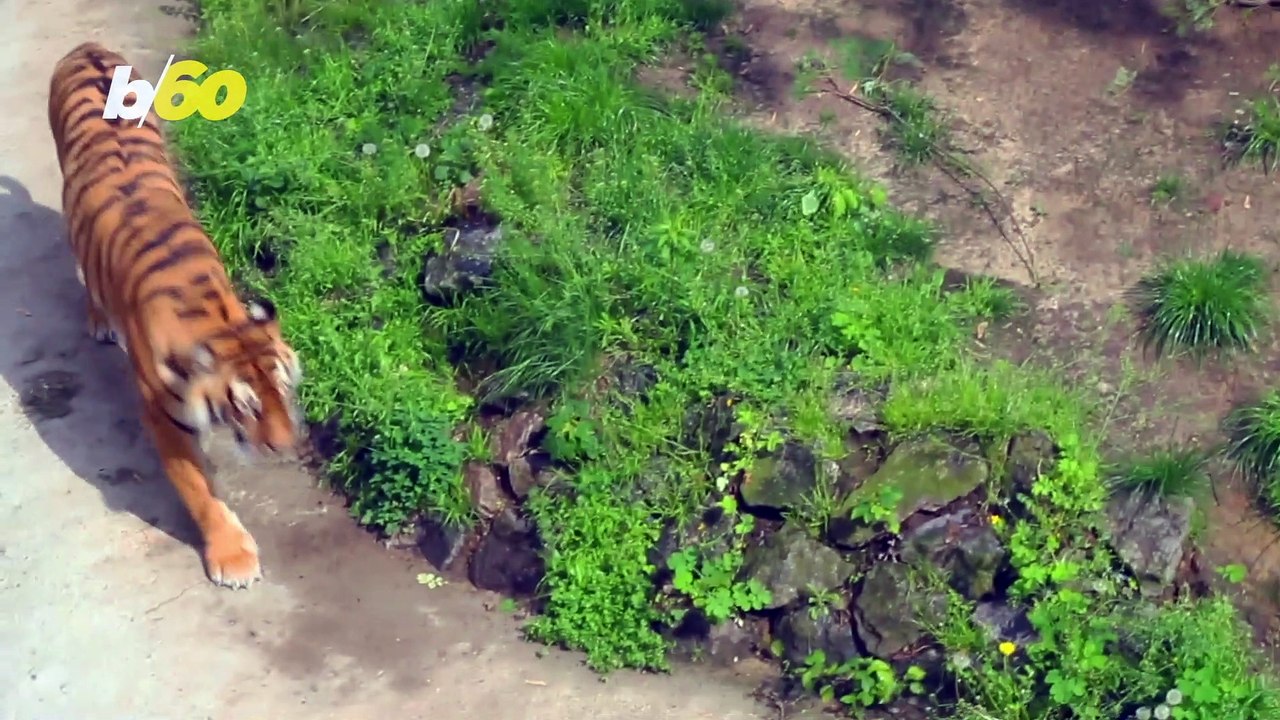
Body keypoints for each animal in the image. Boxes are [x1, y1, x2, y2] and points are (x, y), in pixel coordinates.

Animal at [46, 41, 304, 589]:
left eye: (283, 388)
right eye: (247, 405)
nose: (284, 448)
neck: (215, 316)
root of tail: (88, 48)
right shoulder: (163, 414)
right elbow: (198, 490)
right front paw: (234, 558)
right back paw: (100, 322)